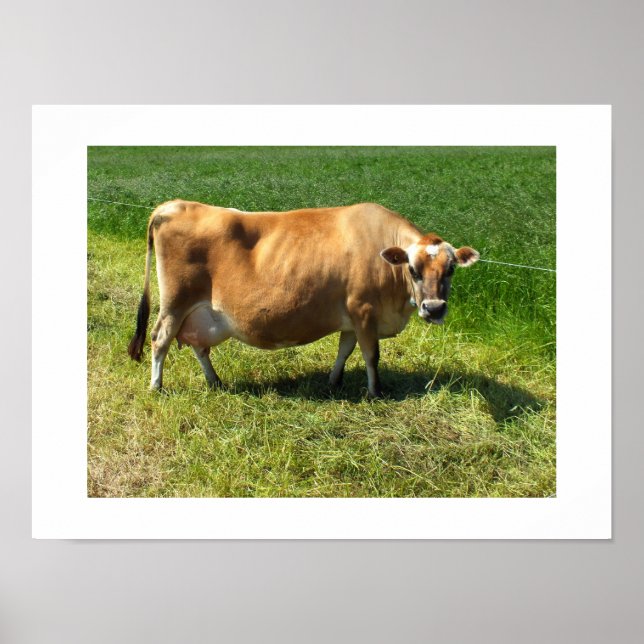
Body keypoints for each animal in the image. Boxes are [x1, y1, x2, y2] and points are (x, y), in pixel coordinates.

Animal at [128, 200, 479, 398]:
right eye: (413, 269)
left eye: (450, 269)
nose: (434, 308)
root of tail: (173, 204)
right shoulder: (364, 310)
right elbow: (371, 355)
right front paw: (375, 392)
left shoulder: (351, 318)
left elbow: (344, 350)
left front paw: (334, 381)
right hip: (175, 302)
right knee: (160, 339)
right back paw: (157, 386)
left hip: (203, 313)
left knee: (199, 346)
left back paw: (215, 382)